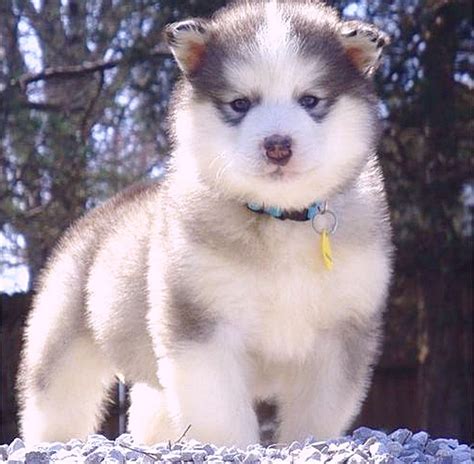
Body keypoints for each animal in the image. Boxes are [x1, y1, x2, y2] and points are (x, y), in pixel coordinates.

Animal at [17, 0, 392, 450]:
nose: (278, 146)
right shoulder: (199, 326)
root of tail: (104, 210)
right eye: (240, 103)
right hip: (63, 339)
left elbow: (316, 415)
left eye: (310, 99)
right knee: (55, 399)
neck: (279, 219)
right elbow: (222, 411)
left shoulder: (342, 332)